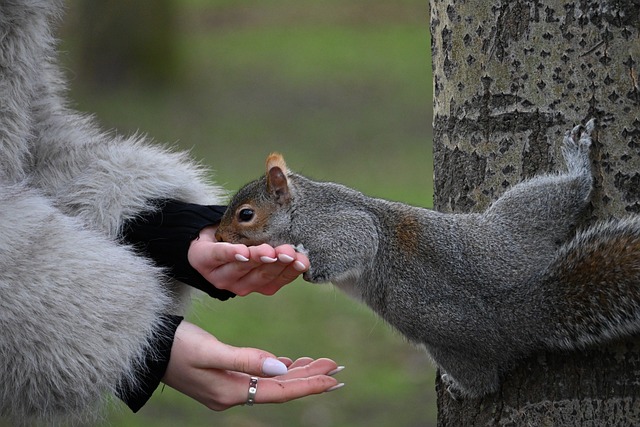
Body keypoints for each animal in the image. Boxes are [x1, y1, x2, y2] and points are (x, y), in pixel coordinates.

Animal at [215, 120, 640, 402]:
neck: (300, 208)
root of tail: (527, 306)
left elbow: (359, 239)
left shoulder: (339, 222)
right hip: (515, 233)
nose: (217, 238)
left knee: (485, 384)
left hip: (463, 314)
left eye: (246, 215)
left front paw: (307, 262)